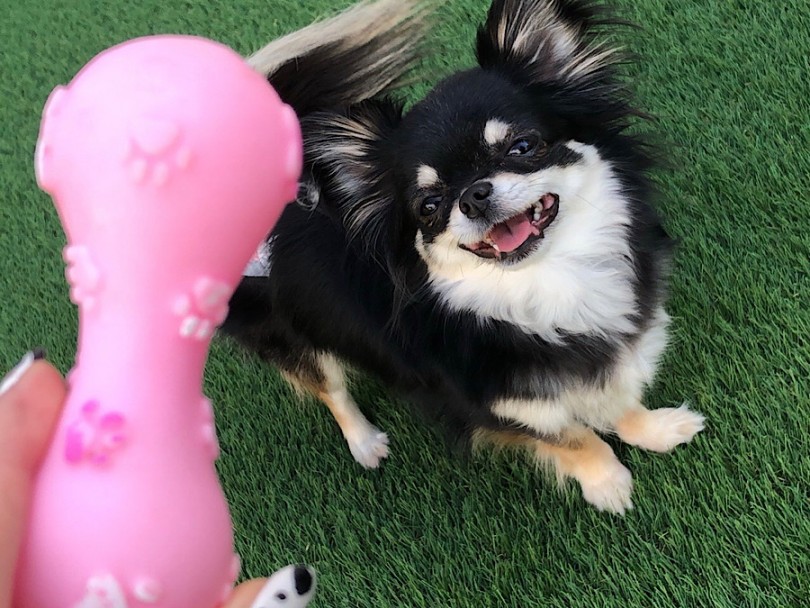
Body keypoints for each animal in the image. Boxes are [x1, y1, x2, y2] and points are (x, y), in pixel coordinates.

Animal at [221, 0, 700, 512]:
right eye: (429, 206)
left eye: (522, 146)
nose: (473, 195)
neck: (549, 287)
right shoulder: (502, 407)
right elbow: (573, 438)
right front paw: (607, 483)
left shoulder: (610, 359)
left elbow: (619, 401)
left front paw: (656, 429)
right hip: (289, 331)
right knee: (330, 390)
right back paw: (364, 441)